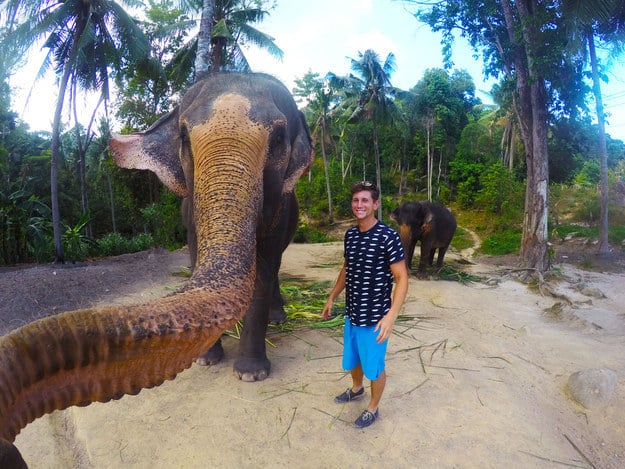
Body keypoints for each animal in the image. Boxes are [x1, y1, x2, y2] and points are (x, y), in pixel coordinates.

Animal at [0, 71, 312, 466]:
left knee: (277, 266)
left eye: (278, 138)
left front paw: (251, 374)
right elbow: (194, 254)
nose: (9, 445)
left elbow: (266, 261)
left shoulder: (279, 208)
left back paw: (279, 317)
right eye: (183, 136)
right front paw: (207, 360)